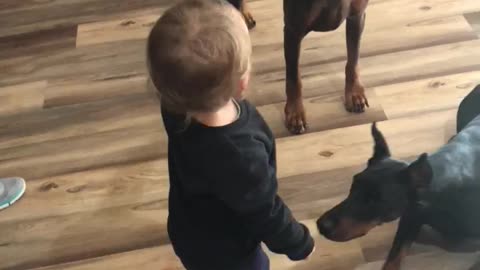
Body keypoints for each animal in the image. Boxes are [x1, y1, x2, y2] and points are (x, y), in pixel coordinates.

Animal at [229, 0, 372, 134]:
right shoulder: (293, 30)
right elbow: (294, 79)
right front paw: (295, 114)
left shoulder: (357, 16)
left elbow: (353, 61)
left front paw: (354, 93)